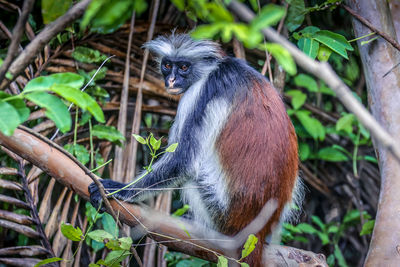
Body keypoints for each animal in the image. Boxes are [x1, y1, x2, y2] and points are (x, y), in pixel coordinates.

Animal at [89, 34, 302, 267]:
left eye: (183, 67)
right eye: (167, 65)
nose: (172, 80)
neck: (219, 67)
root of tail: (257, 232)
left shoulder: (201, 91)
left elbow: (182, 161)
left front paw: (118, 189)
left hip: (221, 214)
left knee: (194, 176)